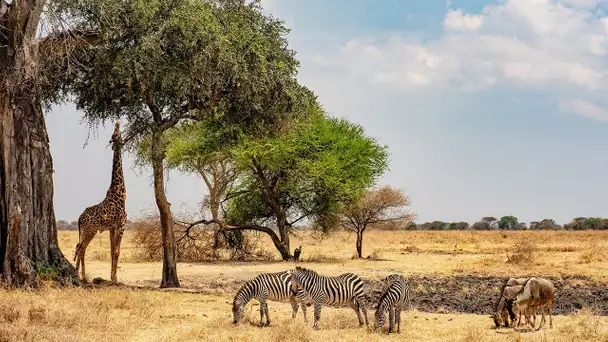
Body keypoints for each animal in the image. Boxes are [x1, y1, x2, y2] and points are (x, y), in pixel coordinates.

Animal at [73, 123, 126, 284]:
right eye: (115, 132)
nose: (117, 123)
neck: (120, 193)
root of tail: (79, 218)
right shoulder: (121, 224)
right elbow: (117, 251)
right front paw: (115, 279)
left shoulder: (112, 228)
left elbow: (112, 251)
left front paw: (112, 276)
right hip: (90, 230)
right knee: (81, 248)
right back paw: (81, 276)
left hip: (86, 231)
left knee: (80, 247)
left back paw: (80, 275)